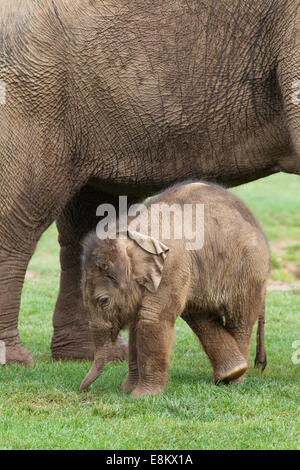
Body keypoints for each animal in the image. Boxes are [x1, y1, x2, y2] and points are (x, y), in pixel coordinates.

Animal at [0, 0, 298, 368]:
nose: (261, 361)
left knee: (92, 215)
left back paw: (89, 355)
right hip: (33, 90)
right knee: (22, 215)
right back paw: (15, 360)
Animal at [79, 181, 270, 396]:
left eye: (103, 301)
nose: (84, 389)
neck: (128, 232)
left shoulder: (171, 265)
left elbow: (152, 319)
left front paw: (142, 396)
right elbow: (137, 323)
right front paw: (127, 390)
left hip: (249, 269)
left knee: (239, 320)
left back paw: (235, 380)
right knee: (200, 316)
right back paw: (230, 374)